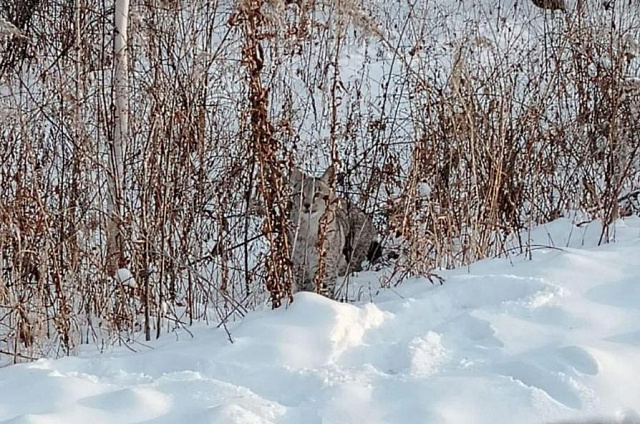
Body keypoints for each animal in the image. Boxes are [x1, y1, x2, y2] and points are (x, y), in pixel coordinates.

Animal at [286, 166, 380, 298]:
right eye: (300, 194)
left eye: (317, 194)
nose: (306, 205)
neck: (311, 228)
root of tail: (367, 217)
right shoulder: (300, 267)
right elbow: (304, 289)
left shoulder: (326, 267)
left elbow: (324, 291)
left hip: (354, 255)